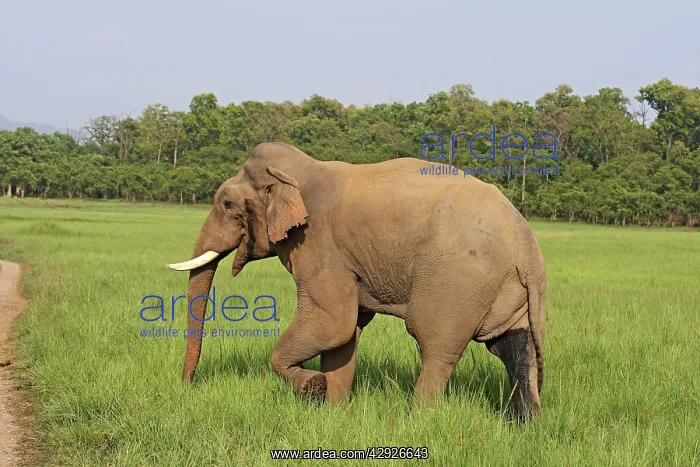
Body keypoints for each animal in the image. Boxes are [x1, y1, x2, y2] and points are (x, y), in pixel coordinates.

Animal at [168, 142, 547, 421]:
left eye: (226, 203)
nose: (186, 388)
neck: (301, 171)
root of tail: (527, 247)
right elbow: (346, 332)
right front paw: (333, 412)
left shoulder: (318, 245)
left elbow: (333, 323)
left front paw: (313, 389)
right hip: (507, 288)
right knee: (513, 346)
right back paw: (524, 426)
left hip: (458, 280)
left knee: (436, 345)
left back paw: (418, 419)